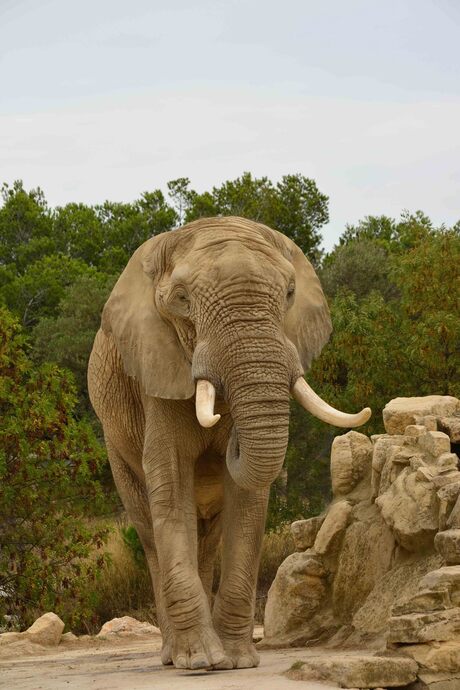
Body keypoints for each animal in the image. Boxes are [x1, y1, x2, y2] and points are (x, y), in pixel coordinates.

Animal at [87, 215, 370, 668]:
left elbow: (247, 502)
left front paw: (235, 661)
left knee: (208, 537)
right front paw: (199, 661)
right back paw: (173, 655)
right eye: (182, 299)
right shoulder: (156, 370)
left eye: (289, 293)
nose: (226, 425)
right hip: (116, 446)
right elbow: (170, 481)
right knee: (150, 529)